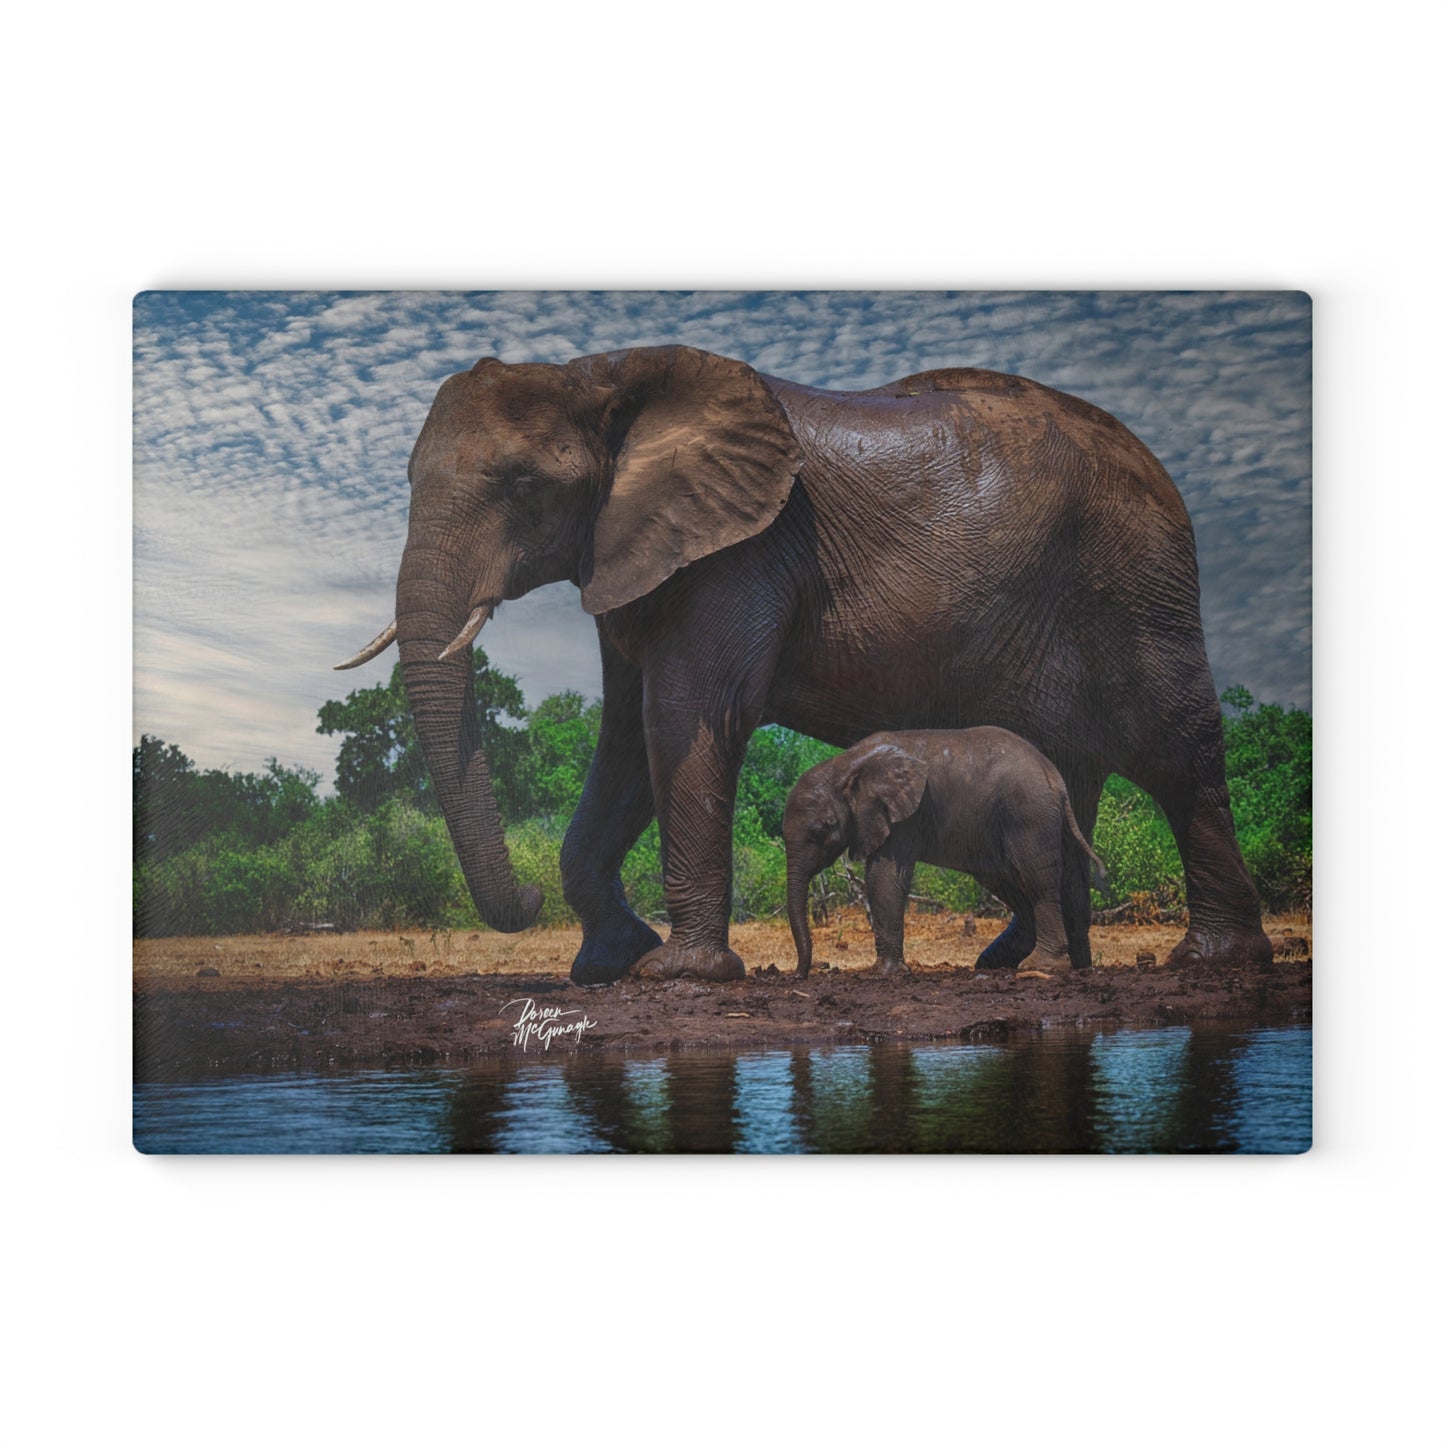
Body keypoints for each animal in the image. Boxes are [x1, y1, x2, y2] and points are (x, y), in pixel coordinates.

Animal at [782, 728, 1108, 979]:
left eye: (821, 830)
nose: (800, 974)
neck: (845, 764)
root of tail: (1056, 777)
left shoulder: (906, 816)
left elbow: (883, 878)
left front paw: (887, 973)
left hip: (1029, 813)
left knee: (1036, 881)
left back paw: (1040, 966)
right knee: (1009, 882)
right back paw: (993, 963)